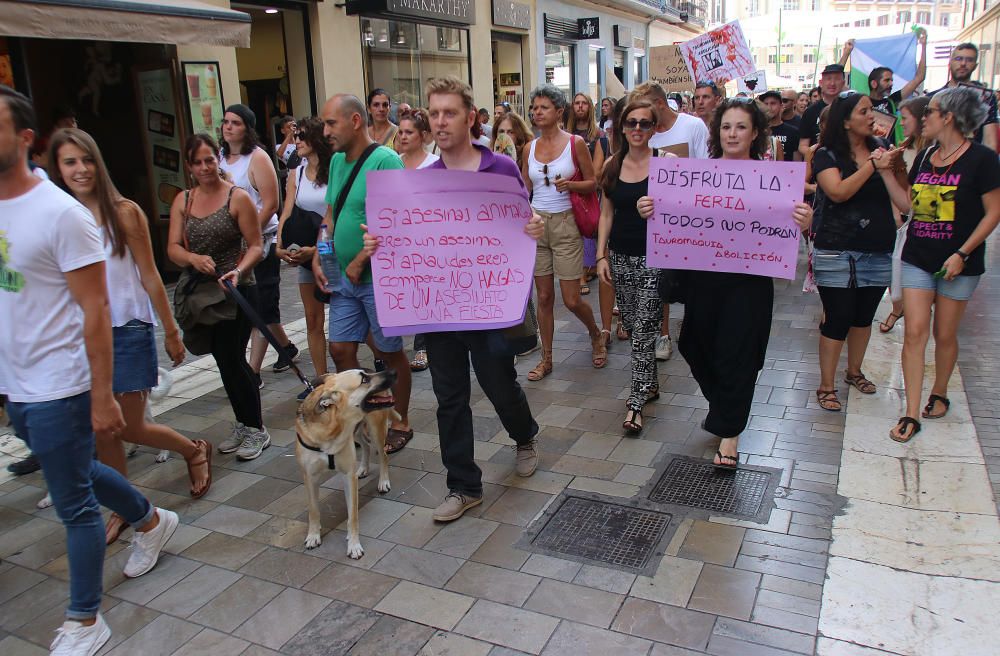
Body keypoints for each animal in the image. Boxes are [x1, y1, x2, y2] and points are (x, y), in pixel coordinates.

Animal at [292, 368, 398, 560]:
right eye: (363, 379)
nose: (393, 372)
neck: (330, 430)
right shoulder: (309, 477)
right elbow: (313, 510)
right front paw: (313, 535)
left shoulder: (348, 476)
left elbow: (353, 516)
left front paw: (354, 545)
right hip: (356, 434)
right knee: (365, 444)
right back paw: (363, 468)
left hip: (376, 429)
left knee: (383, 455)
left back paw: (383, 481)